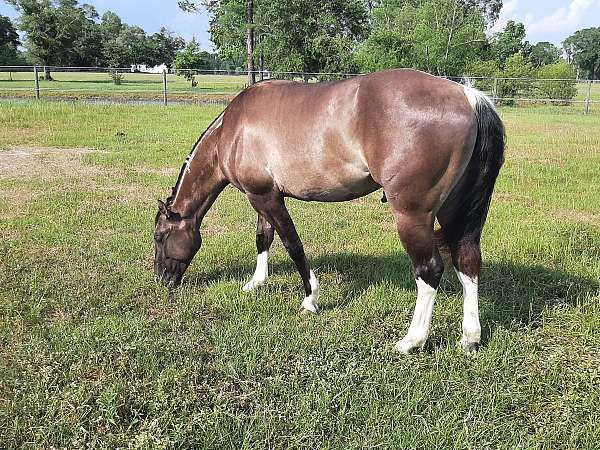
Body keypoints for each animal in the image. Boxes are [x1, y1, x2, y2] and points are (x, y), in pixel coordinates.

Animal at [152, 68, 504, 354]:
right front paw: (256, 282)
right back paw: (470, 338)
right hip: (454, 211)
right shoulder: (262, 195)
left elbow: (292, 245)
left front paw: (310, 299)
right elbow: (263, 238)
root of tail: (467, 96)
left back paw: (411, 341)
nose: (161, 279)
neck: (234, 128)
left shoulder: (266, 197)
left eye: (159, 236)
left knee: (429, 270)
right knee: (467, 262)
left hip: (413, 215)